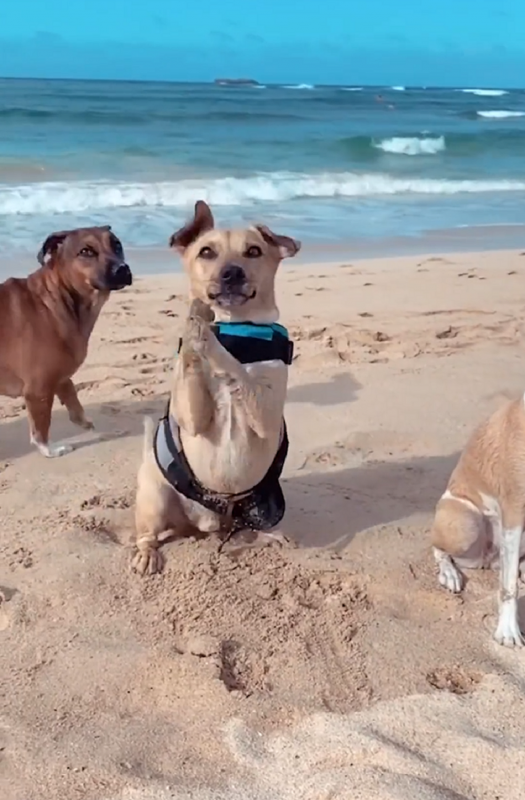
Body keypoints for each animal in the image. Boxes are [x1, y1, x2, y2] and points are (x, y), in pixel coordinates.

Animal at [0, 228, 131, 460]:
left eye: (117, 245)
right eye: (86, 251)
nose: (122, 268)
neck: (55, 300)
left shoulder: (58, 376)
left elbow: (72, 397)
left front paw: (86, 422)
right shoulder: (39, 389)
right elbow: (42, 425)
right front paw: (49, 450)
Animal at [131, 200, 298, 576]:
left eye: (254, 251)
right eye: (206, 251)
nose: (231, 273)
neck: (237, 329)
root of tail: (204, 523)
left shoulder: (266, 412)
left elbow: (237, 369)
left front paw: (208, 335)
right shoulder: (193, 412)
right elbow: (196, 357)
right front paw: (197, 325)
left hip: (259, 506)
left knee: (252, 525)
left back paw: (270, 536)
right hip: (154, 495)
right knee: (147, 534)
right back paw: (147, 553)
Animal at [430, 390, 524, 648]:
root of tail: (486, 560)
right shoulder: (515, 511)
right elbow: (509, 587)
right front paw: (508, 631)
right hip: (465, 523)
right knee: (440, 549)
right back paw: (449, 573)